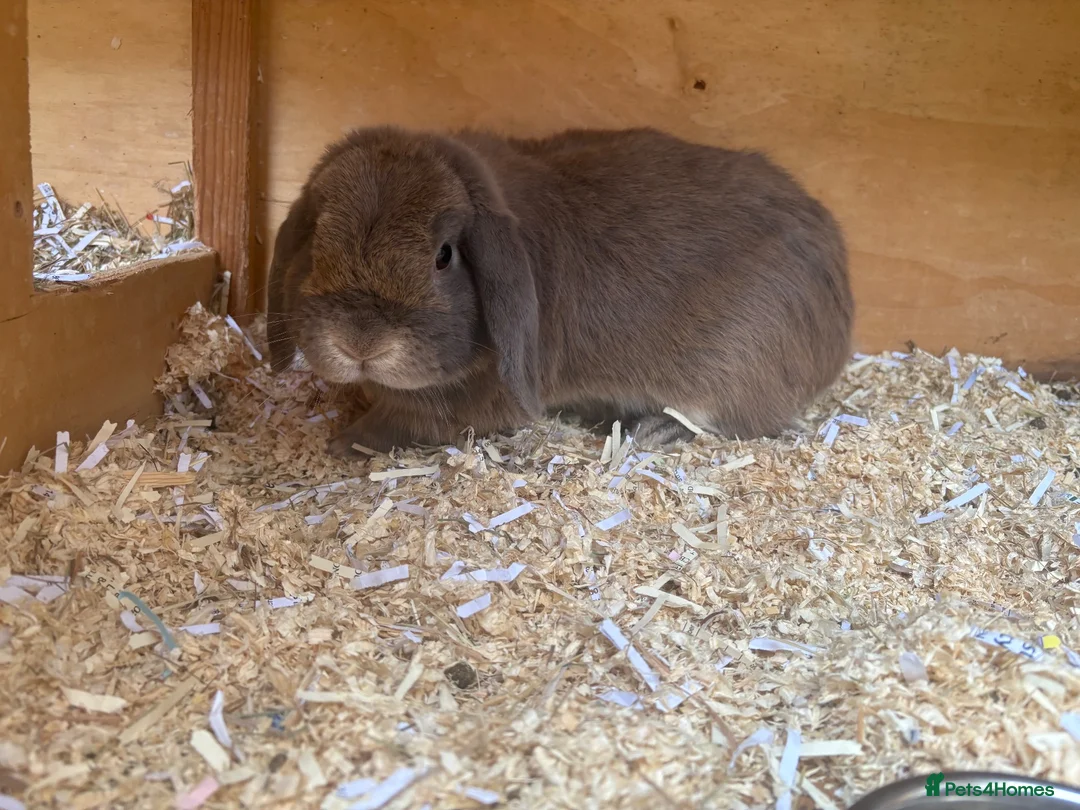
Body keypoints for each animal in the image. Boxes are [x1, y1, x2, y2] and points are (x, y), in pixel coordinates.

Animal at [267, 125, 854, 456]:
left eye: (444, 255)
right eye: (317, 236)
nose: (359, 342)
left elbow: (400, 422)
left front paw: (341, 443)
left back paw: (655, 432)